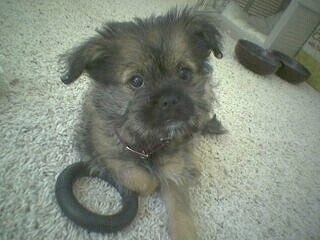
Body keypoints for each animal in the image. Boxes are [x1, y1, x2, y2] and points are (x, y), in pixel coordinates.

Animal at [60, 6, 225, 240]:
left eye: (184, 73)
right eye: (137, 81)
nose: (170, 99)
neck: (148, 139)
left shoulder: (174, 171)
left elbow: (180, 210)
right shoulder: (101, 149)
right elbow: (134, 174)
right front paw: (150, 181)